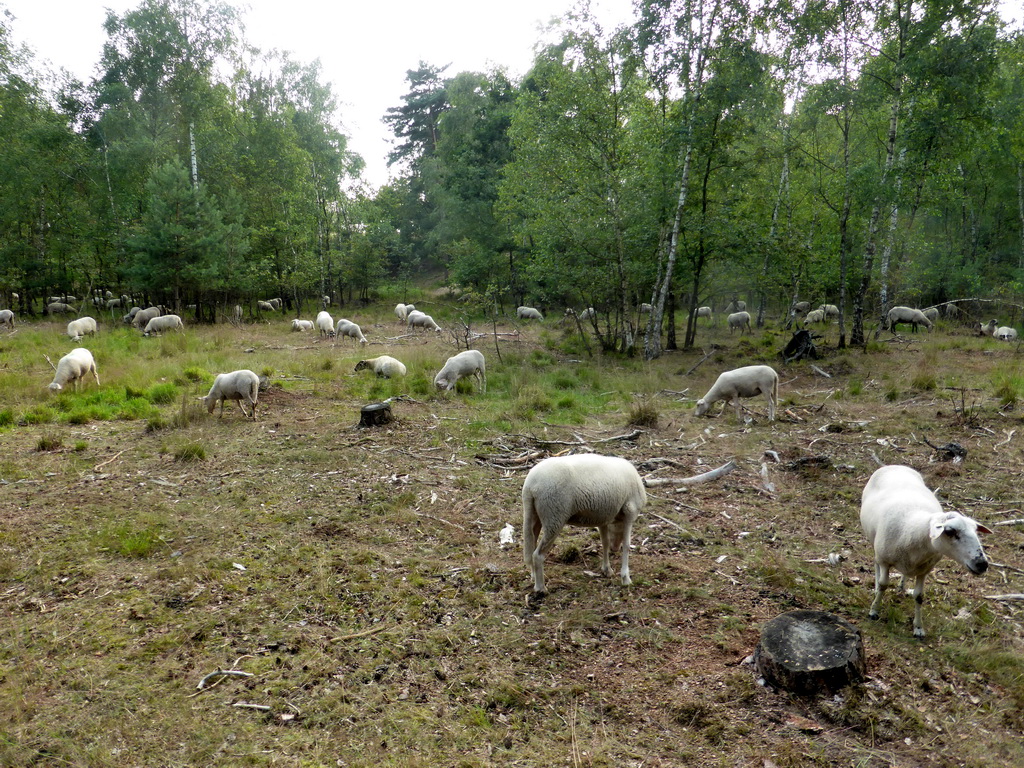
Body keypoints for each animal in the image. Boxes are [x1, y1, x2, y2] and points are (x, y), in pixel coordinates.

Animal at [524, 454, 643, 598]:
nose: (615, 548)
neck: (616, 522)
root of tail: (530, 486)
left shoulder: (603, 518)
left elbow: (605, 543)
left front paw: (607, 569)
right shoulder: (630, 511)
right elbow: (626, 546)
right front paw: (626, 578)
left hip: (534, 515)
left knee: (531, 548)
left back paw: (533, 576)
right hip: (554, 516)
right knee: (538, 555)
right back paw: (541, 588)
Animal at [860, 466, 987, 638]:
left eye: (975, 531)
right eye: (950, 531)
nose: (982, 564)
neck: (912, 530)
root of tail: (897, 465)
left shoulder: (924, 570)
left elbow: (919, 597)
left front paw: (918, 628)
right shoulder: (885, 560)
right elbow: (883, 585)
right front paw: (874, 611)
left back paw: (901, 586)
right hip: (874, 543)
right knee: (875, 565)